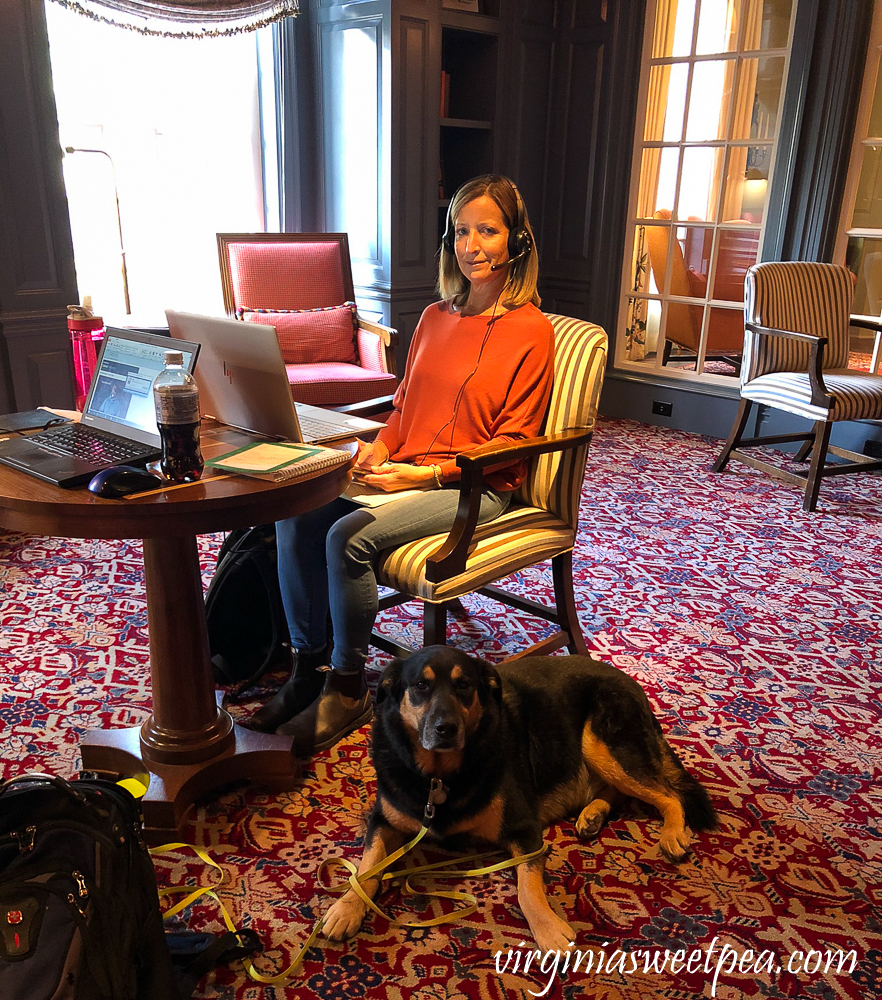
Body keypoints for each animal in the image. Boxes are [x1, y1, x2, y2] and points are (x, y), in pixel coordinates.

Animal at [324, 648, 716, 952]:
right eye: (420, 685)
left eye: (464, 686)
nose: (446, 729)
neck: (439, 778)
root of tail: (632, 684)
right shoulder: (383, 820)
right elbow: (367, 866)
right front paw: (346, 907)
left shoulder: (525, 831)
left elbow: (527, 890)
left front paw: (547, 928)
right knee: (620, 790)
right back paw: (593, 814)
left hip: (602, 744)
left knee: (669, 794)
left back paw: (673, 833)